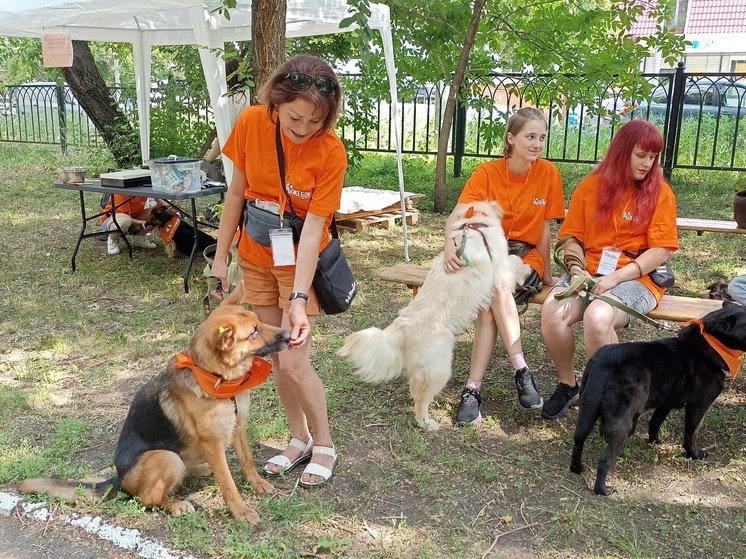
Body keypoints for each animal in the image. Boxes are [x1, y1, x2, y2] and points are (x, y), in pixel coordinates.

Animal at [18, 288, 290, 524]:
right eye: (254, 332)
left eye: (260, 322)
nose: (288, 335)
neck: (217, 378)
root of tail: (118, 479)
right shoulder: (213, 443)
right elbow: (228, 483)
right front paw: (241, 511)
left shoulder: (238, 425)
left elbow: (247, 460)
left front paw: (257, 484)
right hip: (166, 457)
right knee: (148, 498)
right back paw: (177, 504)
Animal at [338, 203, 528, 430]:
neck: (476, 226)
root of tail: (402, 327)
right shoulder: (499, 270)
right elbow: (513, 261)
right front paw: (526, 271)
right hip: (438, 368)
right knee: (421, 400)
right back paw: (427, 423)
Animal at [568, 302, 744, 494]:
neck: (707, 344)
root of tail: (602, 366)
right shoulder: (698, 406)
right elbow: (691, 434)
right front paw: (694, 455)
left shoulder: (666, 402)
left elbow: (655, 422)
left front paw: (655, 440)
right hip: (625, 426)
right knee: (605, 459)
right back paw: (602, 489)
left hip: (587, 412)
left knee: (578, 441)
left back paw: (577, 468)